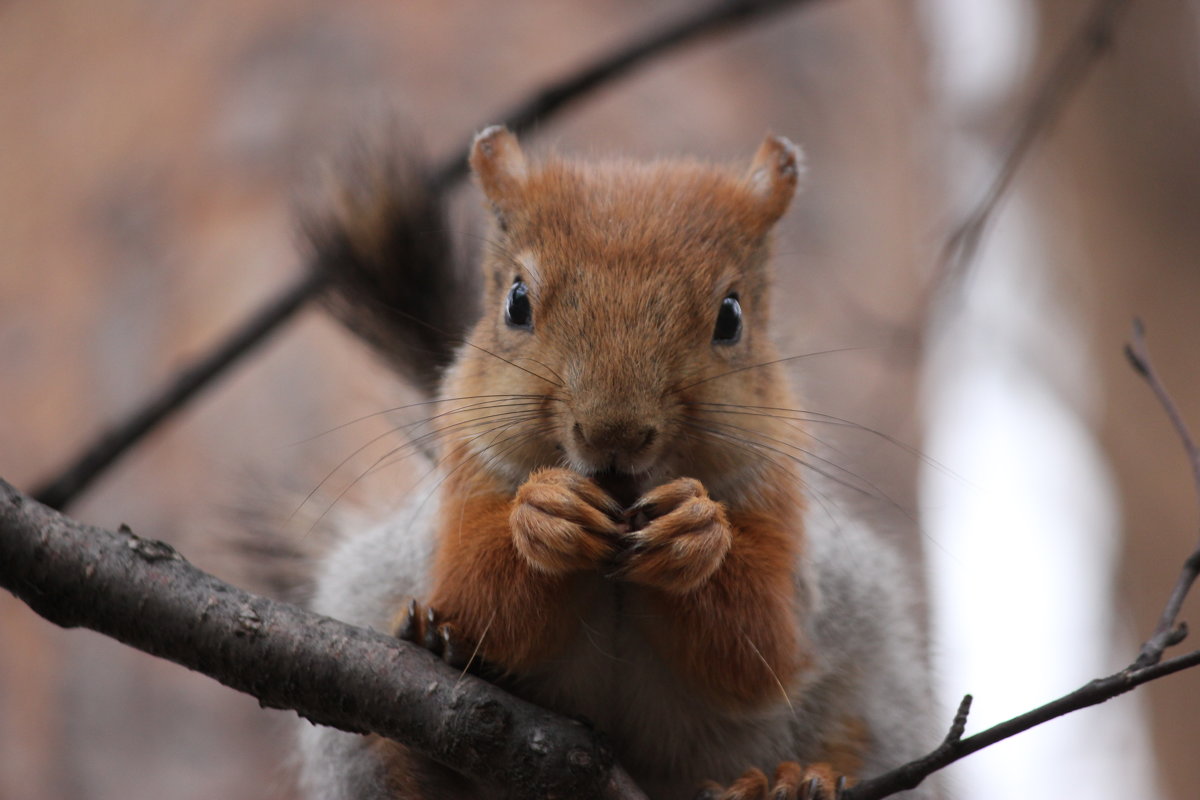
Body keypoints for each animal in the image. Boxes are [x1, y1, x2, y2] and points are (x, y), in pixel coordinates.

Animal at [292, 126, 936, 800]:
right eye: (516, 302)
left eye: (731, 316)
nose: (614, 433)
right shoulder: (465, 482)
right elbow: (477, 600)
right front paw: (544, 515)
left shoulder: (776, 499)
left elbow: (758, 648)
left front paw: (696, 534)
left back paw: (793, 780)